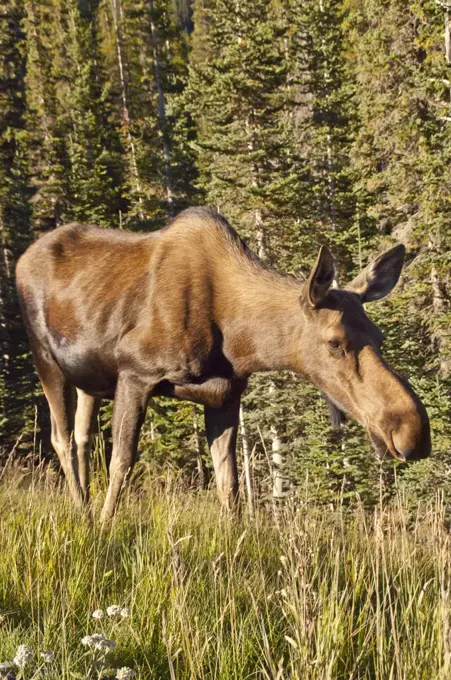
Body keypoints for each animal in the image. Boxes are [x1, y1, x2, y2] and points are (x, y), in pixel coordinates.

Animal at [15, 207, 430, 520]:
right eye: (335, 342)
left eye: (379, 337)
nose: (413, 432)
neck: (240, 341)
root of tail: (21, 259)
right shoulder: (136, 372)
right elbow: (122, 461)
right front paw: (106, 526)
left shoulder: (225, 395)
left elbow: (229, 482)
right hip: (45, 358)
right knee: (61, 438)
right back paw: (84, 514)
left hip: (91, 380)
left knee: (82, 437)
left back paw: (83, 505)